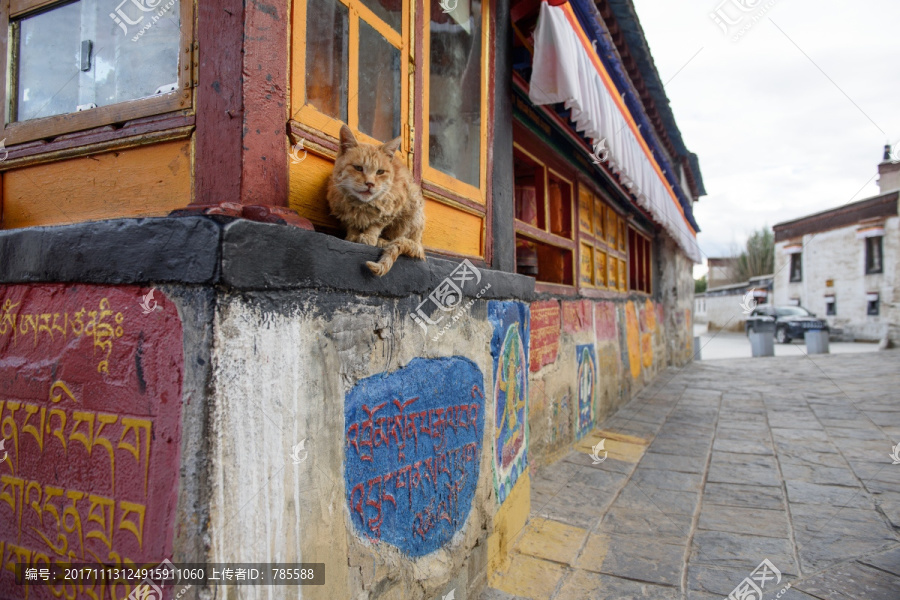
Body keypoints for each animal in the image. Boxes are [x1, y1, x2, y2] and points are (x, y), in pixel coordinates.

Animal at [328, 127, 428, 278]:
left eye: (380, 172)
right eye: (358, 168)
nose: (370, 184)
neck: (361, 205)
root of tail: (420, 244)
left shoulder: (393, 207)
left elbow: (376, 224)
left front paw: (369, 236)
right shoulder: (341, 207)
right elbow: (351, 222)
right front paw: (353, 234)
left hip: (413, 206)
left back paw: (383, 241)